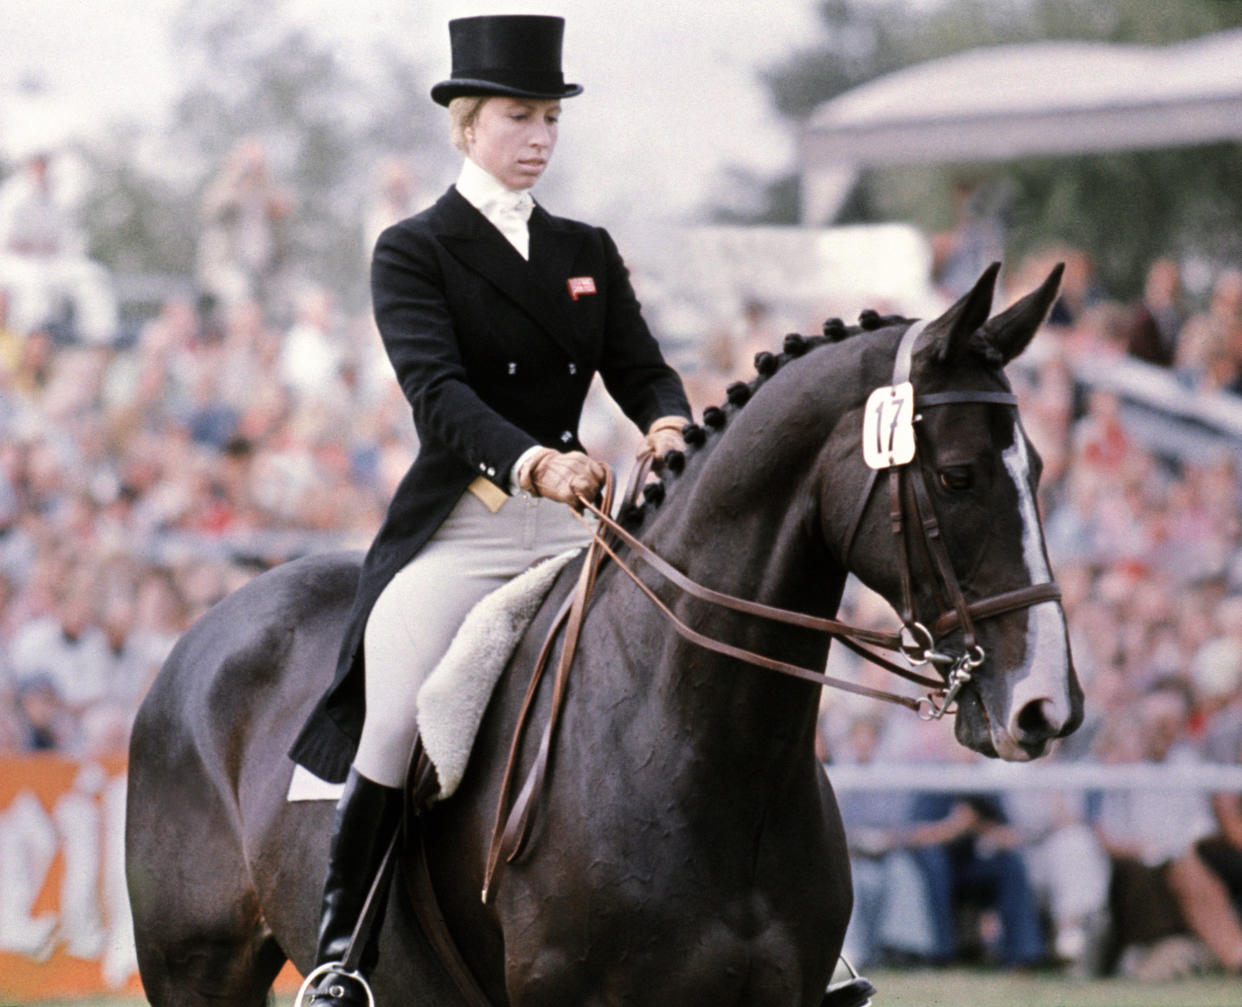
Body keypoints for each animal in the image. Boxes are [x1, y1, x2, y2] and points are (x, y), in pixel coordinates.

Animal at [126, 264, 1078, 1003]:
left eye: (1037, 467)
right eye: (956, 477)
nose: (1046, 707)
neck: (702, 747)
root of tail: (202, 636)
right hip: (195, 968)